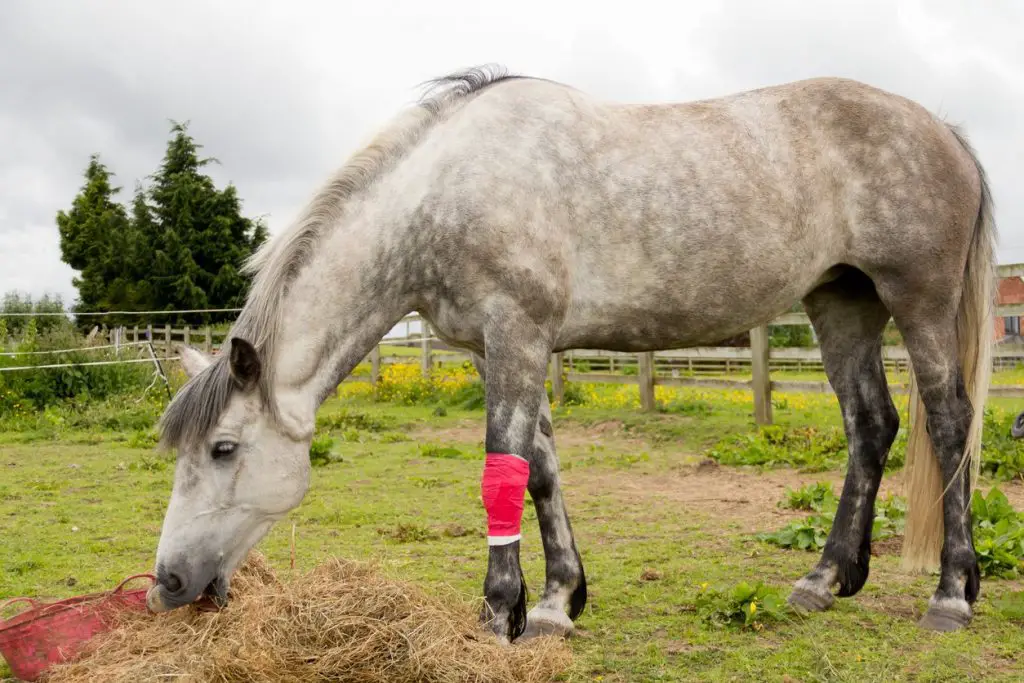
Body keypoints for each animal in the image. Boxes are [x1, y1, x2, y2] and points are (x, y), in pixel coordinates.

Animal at [142, 63, 991, 643]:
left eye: (223, 448)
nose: (169, 581)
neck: (443, 194)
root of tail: (943, 128)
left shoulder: (517, 332)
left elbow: (501, 467)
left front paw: (500, 612)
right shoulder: (495, 349)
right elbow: (541, 466)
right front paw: (557, 601)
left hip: (918, 302)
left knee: (949, 421)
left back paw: (951, 592)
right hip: (840, 302)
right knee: (870, 424)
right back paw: (825, 577)